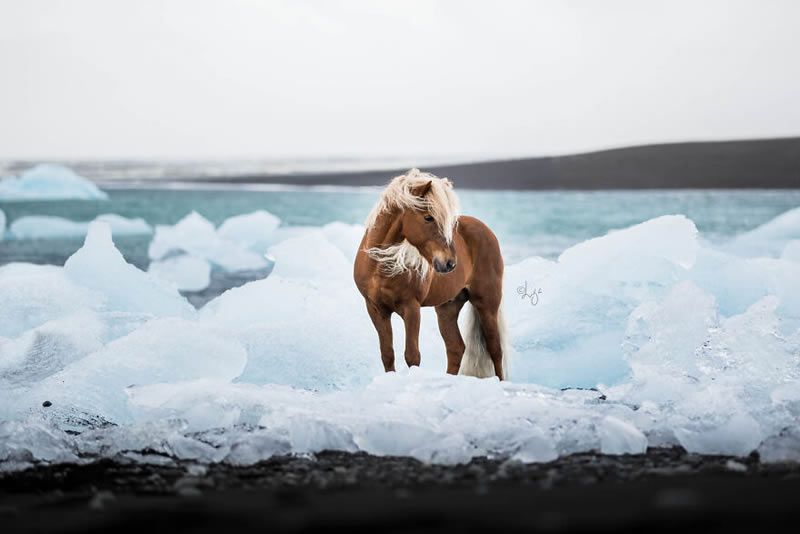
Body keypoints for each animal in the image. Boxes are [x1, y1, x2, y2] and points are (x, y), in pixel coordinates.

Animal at [354, 170, 510, 378]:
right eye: (428, 218)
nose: (450, 263)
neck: (380, 267)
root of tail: (487, 231)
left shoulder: (411, 308)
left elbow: (412, 356)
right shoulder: (375, 309)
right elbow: (387, 354)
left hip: (487, 303)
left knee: (495, 350)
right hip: (447, 307)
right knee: (456, 348)